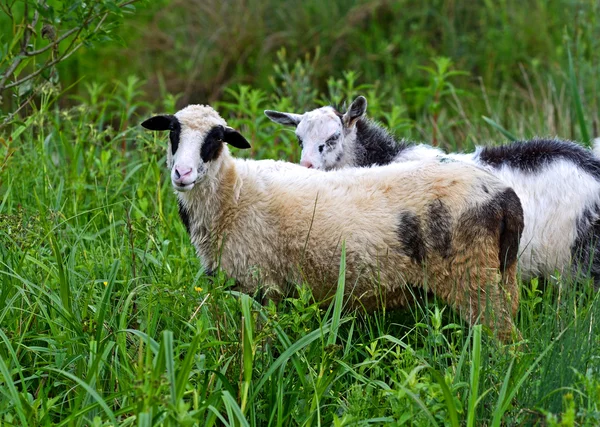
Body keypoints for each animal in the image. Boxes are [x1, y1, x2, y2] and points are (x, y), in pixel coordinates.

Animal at [143, 103, 524, 342]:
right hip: (502, 275)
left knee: (506, 341)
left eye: (216, 138)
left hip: (473, 277)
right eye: (173, 132)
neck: (233, 194)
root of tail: (505, 197)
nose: (182, 173)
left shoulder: (262, 286)